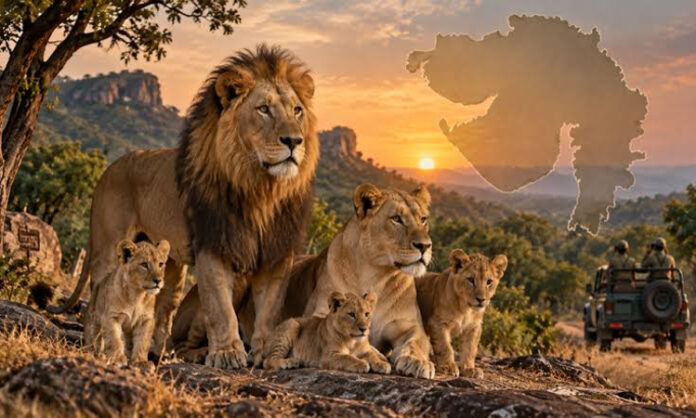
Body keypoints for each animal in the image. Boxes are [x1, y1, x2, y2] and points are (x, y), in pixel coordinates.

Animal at [48, 45, 319, 369]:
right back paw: (97, 345)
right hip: (108, 248)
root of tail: (108, 168)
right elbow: (220, 307)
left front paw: (264, 353)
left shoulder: (276, 251)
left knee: (164, 307)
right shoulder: (212, 245)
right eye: (264, 109)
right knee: (99, 297)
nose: (294, 141)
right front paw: (227, 354)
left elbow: (269, 309)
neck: (261, 190)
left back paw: (157, 353)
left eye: (297, 111)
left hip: (169, 262)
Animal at [263, 291, 391, 374]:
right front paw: (361, 363)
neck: (352, 341)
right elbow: (346, 357)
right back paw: (289, 362)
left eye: (367, 314)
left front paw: (382, 364)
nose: (364, 329)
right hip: (292, 324)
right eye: (351, 314)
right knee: (268, 361)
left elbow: (372, 355)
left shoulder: (364, 350)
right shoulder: (328, 356)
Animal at [415, 249, 508, 378]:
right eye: (471, 280)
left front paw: (469, 369)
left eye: (489, 282)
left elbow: (470, 349)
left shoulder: (473, 327)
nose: (481, 299)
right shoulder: (437, 323)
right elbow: (444, 347)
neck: (465, 309)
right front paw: (448, 367)